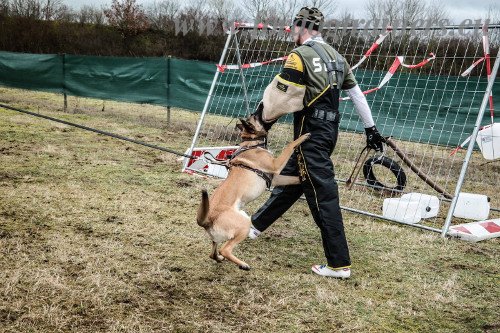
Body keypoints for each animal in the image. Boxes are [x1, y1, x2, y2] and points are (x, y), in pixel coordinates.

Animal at [196, 114, 308, 270]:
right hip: (244, 223)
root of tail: (207, 220)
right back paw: (243, 265)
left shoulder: (276, 178)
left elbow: (295, 179)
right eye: (256, 116)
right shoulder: (276, 165)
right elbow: (290, 145)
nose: (262, 110)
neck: (251, 142)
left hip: (226, 231)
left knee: (213, 253)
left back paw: (220, 259)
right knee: (225, 249)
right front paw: (303, 136)